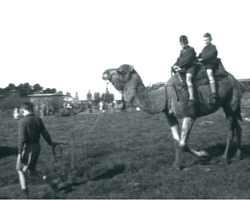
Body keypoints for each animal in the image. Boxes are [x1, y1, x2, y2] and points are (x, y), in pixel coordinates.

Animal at [102, 63, 244, 169]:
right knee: (238, 127)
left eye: (120, 71)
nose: (104, 73)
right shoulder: (170, 116)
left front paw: (205, 156)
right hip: (230, 106)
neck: (165, 95)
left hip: (230, 102)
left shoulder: (190, 114)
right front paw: (176, 165)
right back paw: (238, 155)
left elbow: (182, 143)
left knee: (230, 130)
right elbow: (176, 142)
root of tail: (237, 82)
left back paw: (224, 159)